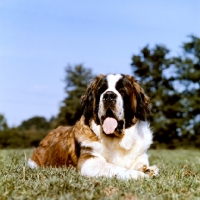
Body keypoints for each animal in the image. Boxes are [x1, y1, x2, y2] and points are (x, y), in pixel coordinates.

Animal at [28, 74, 159, 180]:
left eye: (122, 91)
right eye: (101, 91)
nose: (109, 95)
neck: (117, 140)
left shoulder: (140, 156)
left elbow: (140, 163)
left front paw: (148, 169)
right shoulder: (89, 161)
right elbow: (113, 167)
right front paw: (137, 174)